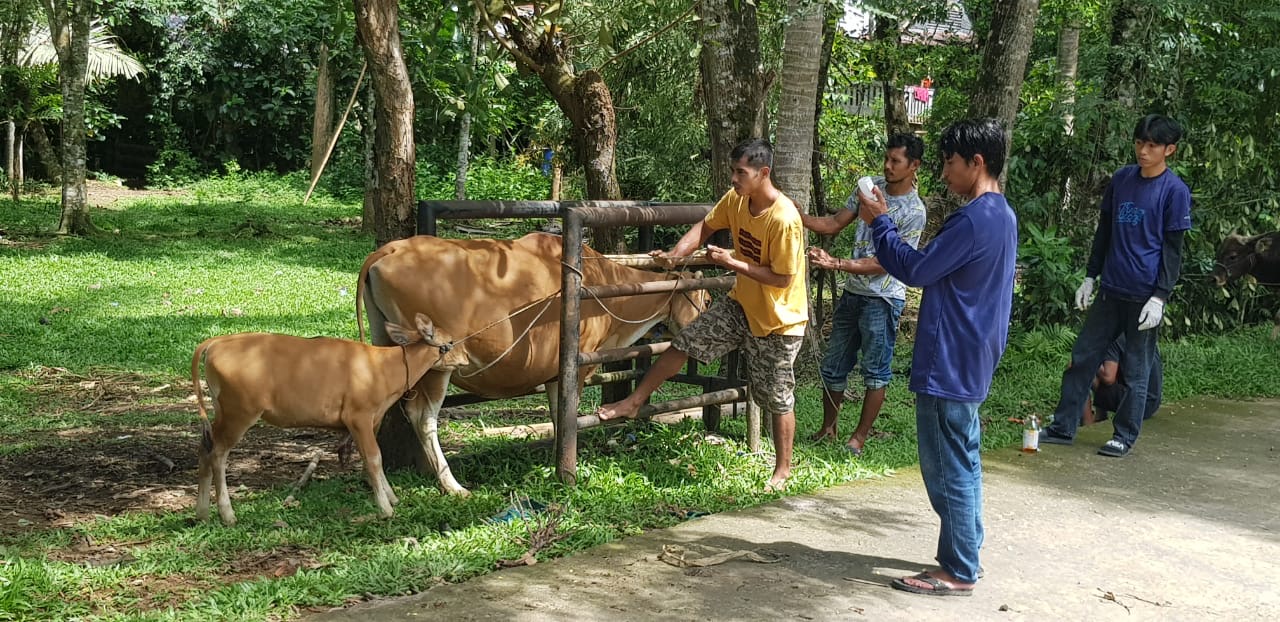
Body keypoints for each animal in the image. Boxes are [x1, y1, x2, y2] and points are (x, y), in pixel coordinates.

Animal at [186, 316, 450, 524]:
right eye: (449, 342)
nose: (461, 354)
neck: (381, 368)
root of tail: (216, 342)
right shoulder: (359, 416)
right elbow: (374, 458)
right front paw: (385, 508)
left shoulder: (368, 421)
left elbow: (370, 460)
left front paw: (392, 497)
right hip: (239, 413)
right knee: (217, 454)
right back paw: (227, 514)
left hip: (222, 412)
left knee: (203, 448)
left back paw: (202, 513)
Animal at [358, 232, 711, 496]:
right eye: (707, 299)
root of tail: (390, 249)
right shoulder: (576, 364)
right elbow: (566, 413)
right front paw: (567, 468)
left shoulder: (553, 371)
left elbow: (557, 415)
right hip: (436, 361)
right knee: (423, 416)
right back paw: (452, 485)